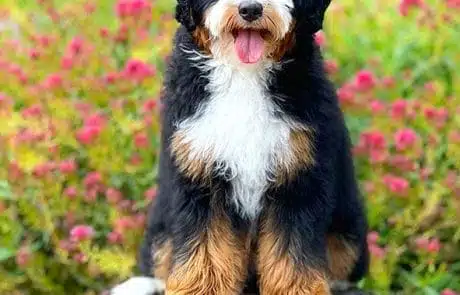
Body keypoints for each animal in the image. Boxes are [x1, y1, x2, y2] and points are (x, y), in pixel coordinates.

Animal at [111, 0, 370, 294]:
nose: (250, 9)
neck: (244, 75)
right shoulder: (201, 172)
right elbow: (206, 250)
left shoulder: (298, 176)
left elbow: (292, 255)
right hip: (161, 226)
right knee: (159, 257)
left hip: (349, 233)